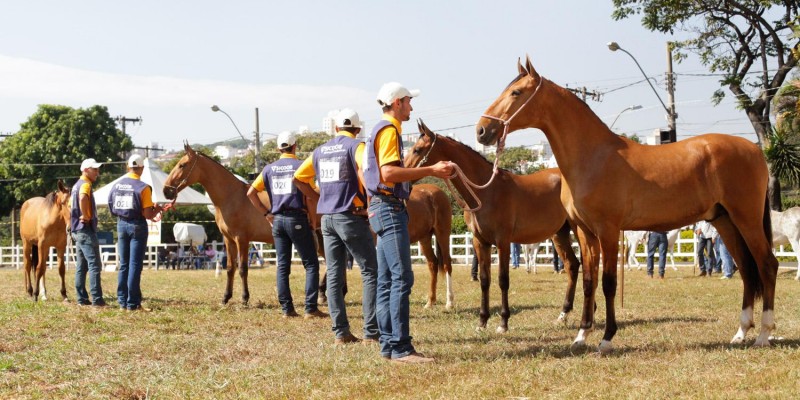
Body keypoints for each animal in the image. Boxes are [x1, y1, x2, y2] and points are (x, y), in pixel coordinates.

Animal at [404, 120, 580, 332]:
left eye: (417, 149)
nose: (403, 176)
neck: (487, 192)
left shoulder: (503, 242)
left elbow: (503, 280)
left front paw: (503, 322)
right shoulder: (481, 242)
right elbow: (485, 280)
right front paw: (482, 322)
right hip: (559, 234)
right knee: (573, 266)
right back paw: (564, 315)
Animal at [478, 57, 780, 354]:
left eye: (516, 93)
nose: (482, 130)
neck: (593, 157)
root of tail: (755, 150)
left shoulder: (608, 230)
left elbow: (608, 283)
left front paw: (607, 338)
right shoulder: (585, 232)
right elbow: (589, 281)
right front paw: (581, 335)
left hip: (746, 219)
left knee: (767, 265)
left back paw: (764, 334)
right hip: (725, 221)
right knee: (747, 270)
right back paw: (740, 333)